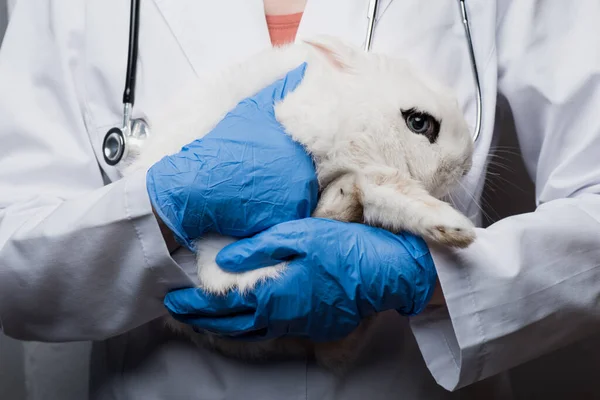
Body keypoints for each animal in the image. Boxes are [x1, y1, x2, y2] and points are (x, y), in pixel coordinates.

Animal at [123, 36, 478, 374]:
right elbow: (389, 187)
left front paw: (455, 231)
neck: (356, 115)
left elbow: (389, 196)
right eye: (418, 122)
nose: (465, 166)